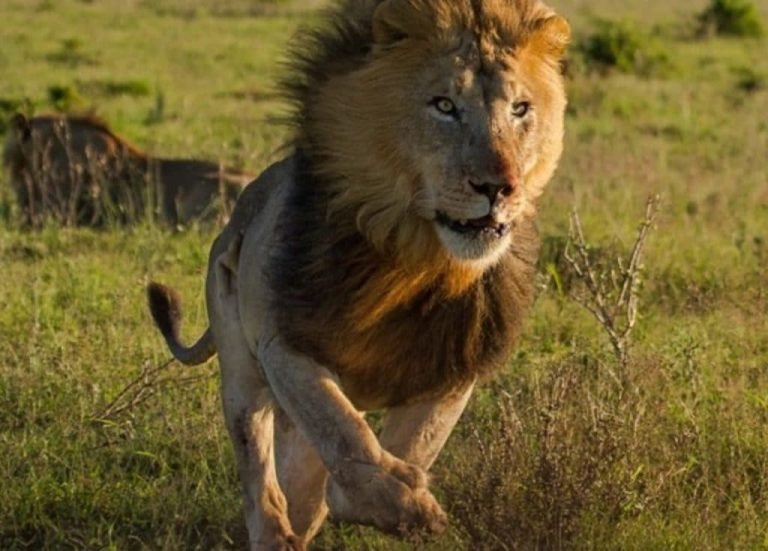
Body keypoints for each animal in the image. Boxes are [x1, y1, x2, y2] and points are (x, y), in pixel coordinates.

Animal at [147, 0, 570, 548]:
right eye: (443, 106)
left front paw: (397, 498)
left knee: (301, 481)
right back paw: (274, 532)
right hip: (241, 370)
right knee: (259, 473)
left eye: (520, 109)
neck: (415, 262)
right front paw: (400, 504)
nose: (499, 187)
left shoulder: (457, 367)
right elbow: (342, 431)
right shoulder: (285, 344)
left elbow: (413, 442)